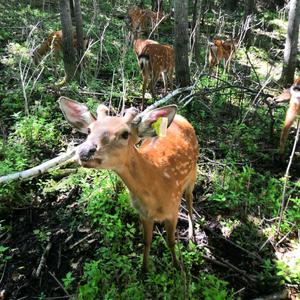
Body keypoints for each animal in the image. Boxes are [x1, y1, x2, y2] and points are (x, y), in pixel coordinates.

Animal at [59, 98, 199, 272]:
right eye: (89, 130)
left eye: (125, 134)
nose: (85, 151)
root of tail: (180, 117)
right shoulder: (144, 213)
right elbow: (147, 241)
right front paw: (144, 270)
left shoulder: (173, 209)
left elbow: (171, 241)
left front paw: (177, 266)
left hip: (193, 173)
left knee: (190, 198)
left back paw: (192, 233)